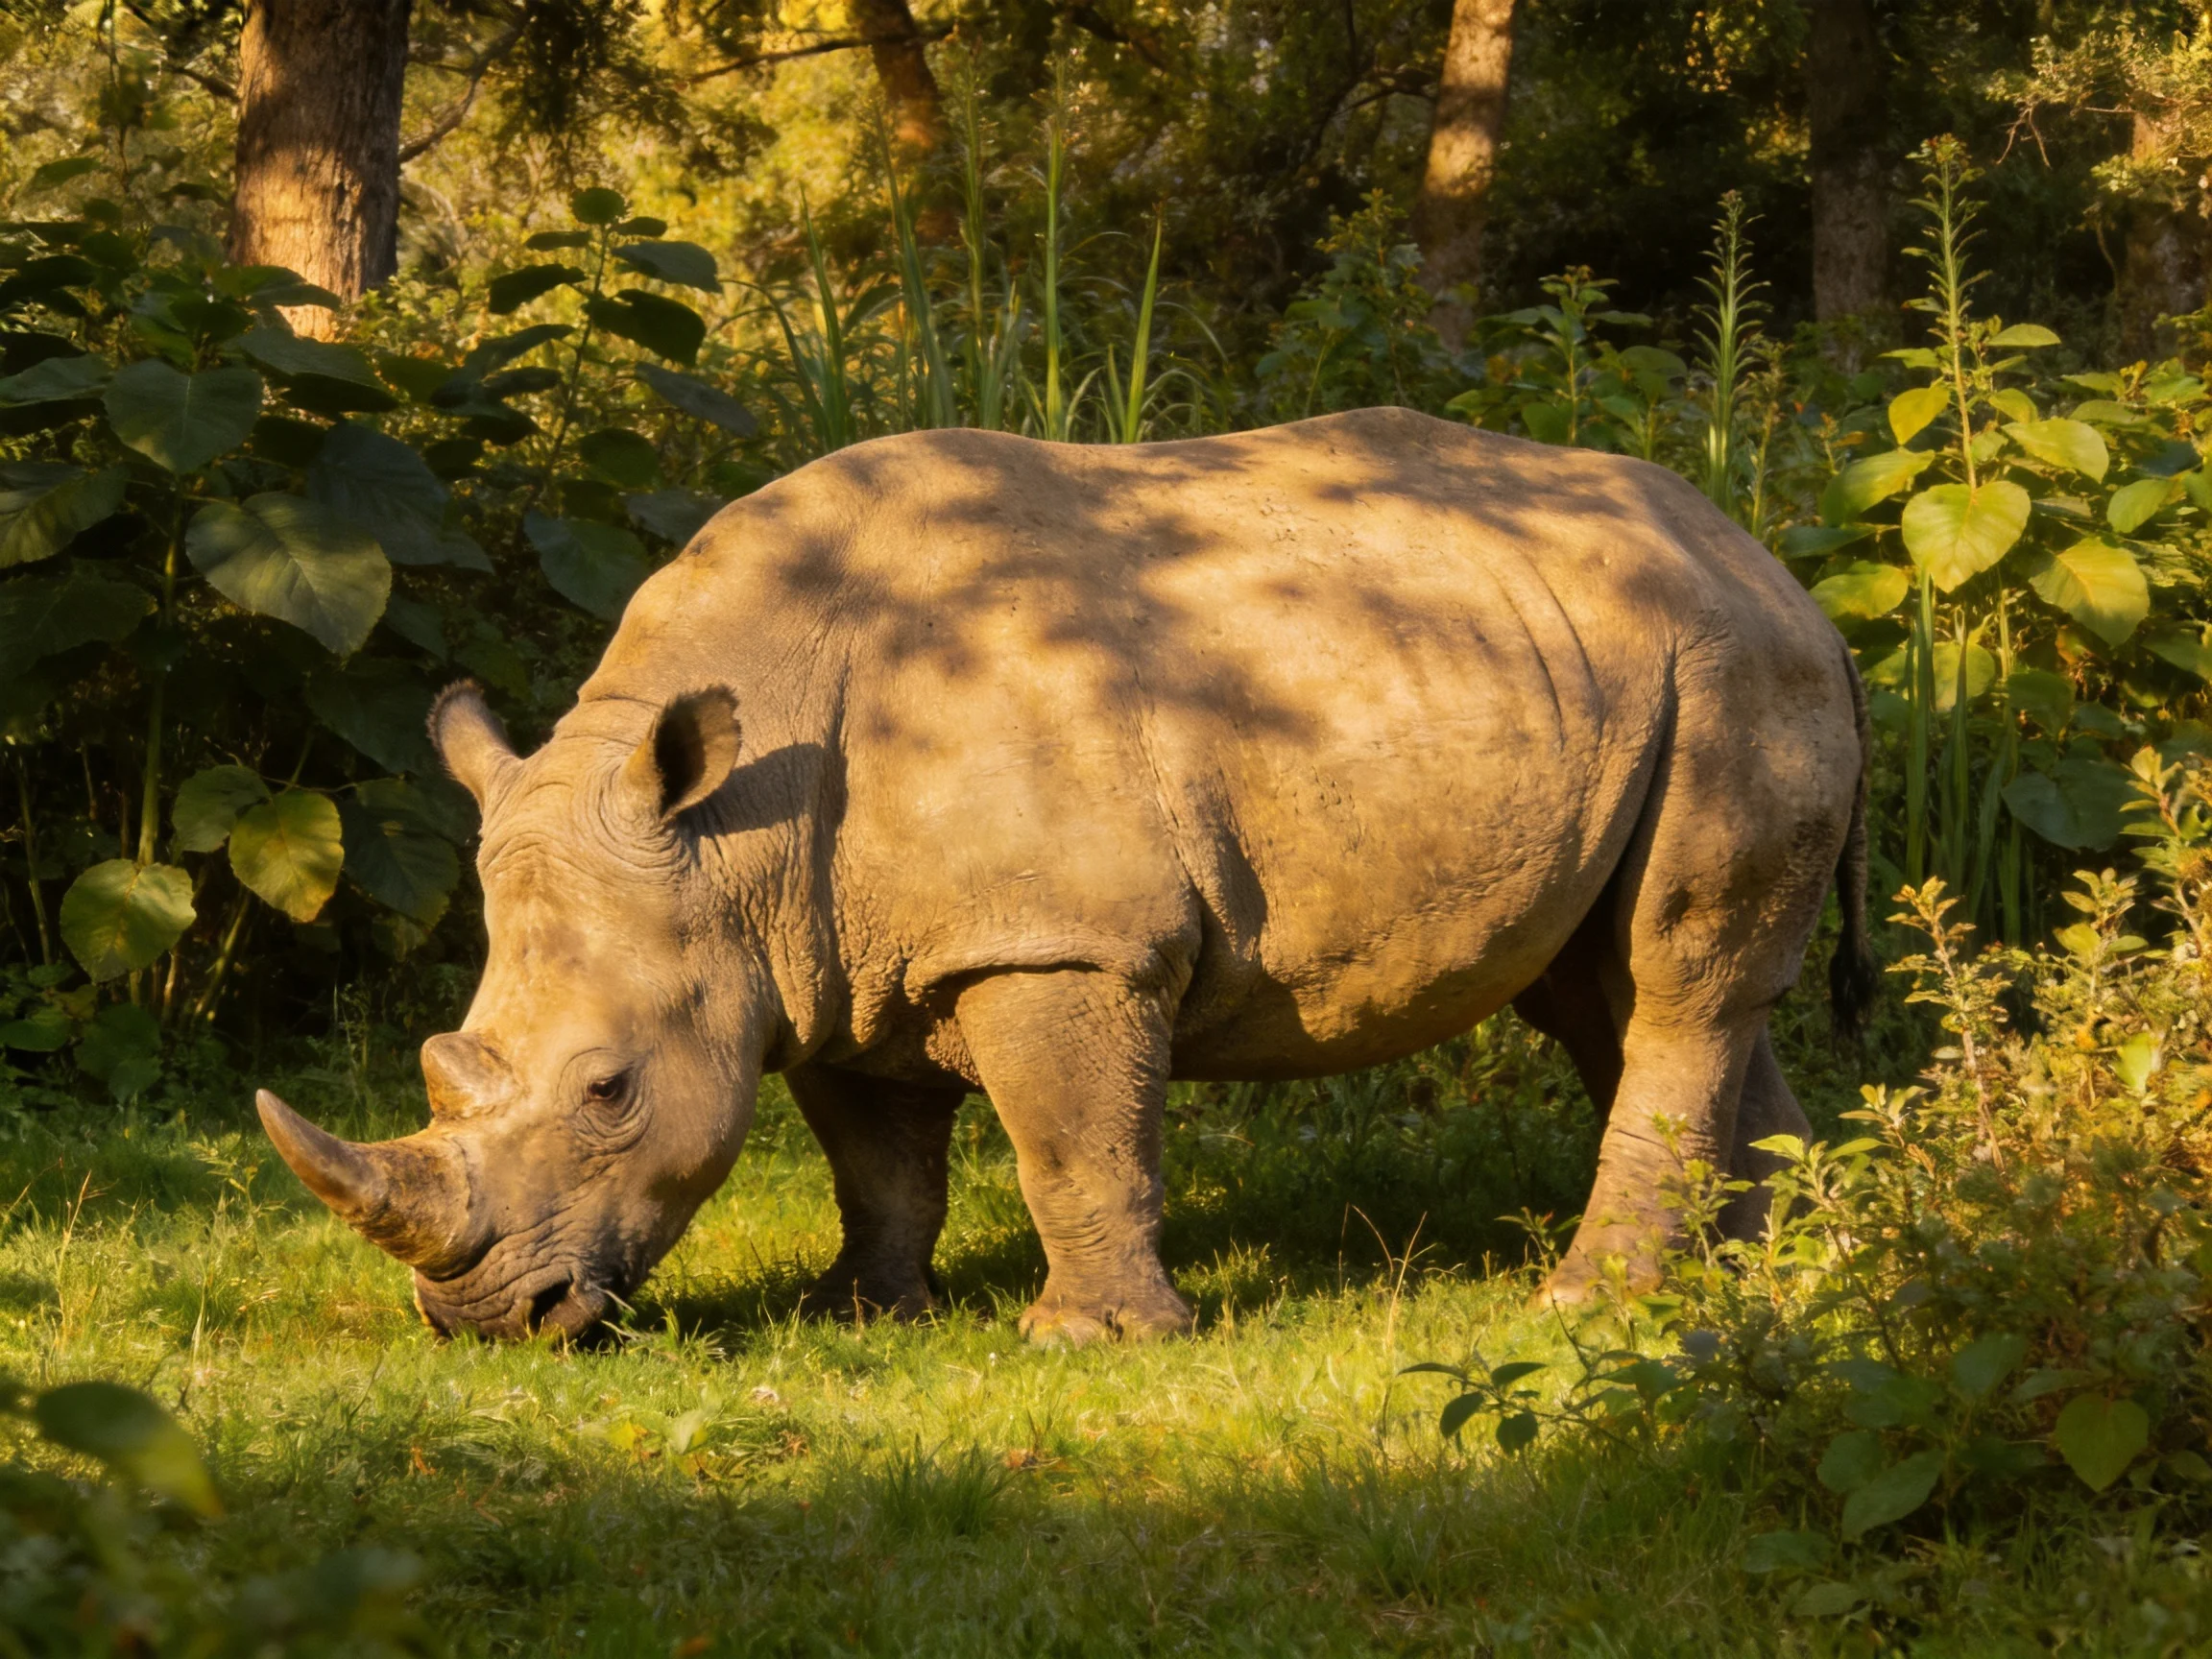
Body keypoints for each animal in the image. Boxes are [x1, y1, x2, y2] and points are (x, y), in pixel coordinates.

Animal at [256, 407, 1873, 1343]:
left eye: (607, 1093)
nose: (480, 1317)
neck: (734, 845)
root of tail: (1777, 565)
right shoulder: (819, 956)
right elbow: (875, 1156)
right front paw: (862, 1317)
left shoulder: (1055, 939)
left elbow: (1071, 1143)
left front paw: (1092, 1343)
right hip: (1636, 671)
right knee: (1617, 990)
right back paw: (1780, 1270)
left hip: (1735, 674)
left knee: (1669, 974)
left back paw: (1597, 1301)